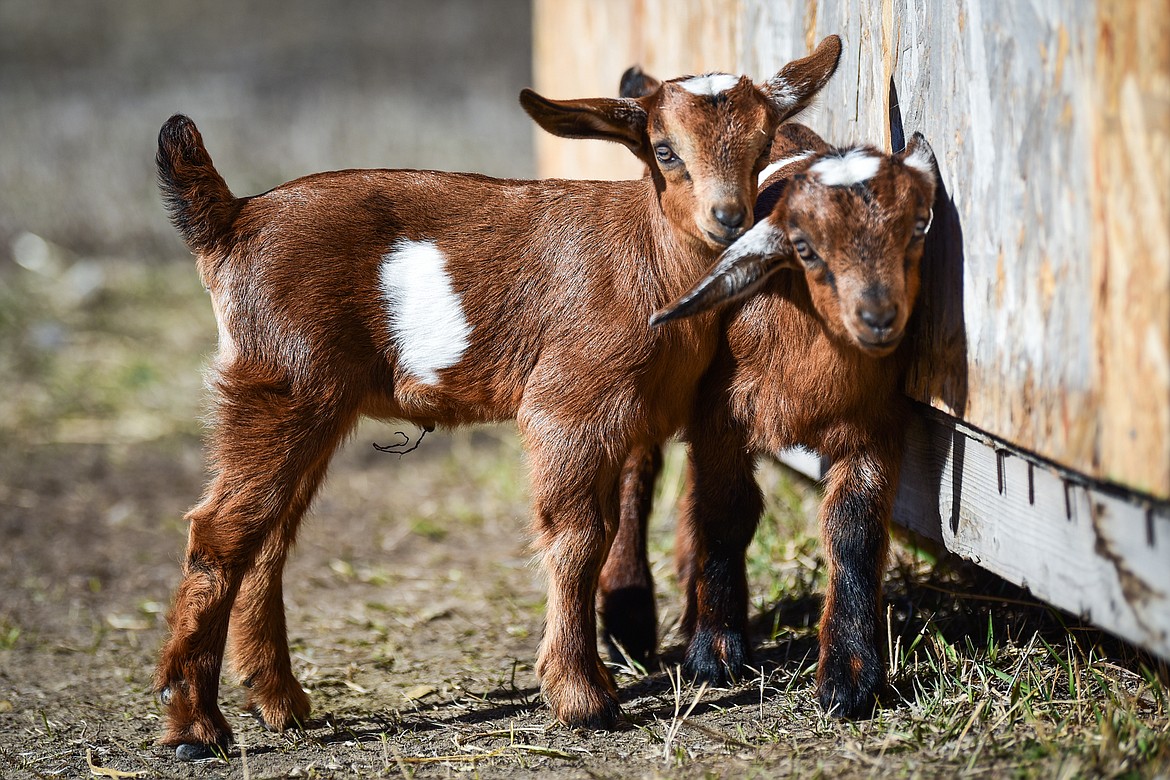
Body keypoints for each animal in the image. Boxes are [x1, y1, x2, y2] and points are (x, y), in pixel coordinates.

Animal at [148, 39, 842, 757]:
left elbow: (612, 529)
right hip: (278, 384)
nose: (729, 219)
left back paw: (279, 703)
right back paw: (195, 725)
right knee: (221, 530)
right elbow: (578, 538)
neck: (650, 260)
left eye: (762, 147)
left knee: (270, 534)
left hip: (314, 402)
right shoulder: (567, 406)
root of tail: (233, 218)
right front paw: (581, 697)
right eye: (664, 149)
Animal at [599, 107, 935, 715]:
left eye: (919, 227)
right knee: (639, 471)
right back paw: (629, 621)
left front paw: (850, 676)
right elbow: (726, 513)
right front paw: (715, 654)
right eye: (804, 246)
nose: (879, 319)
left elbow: (854, 528)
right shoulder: (722, 414)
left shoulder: (874, 422)